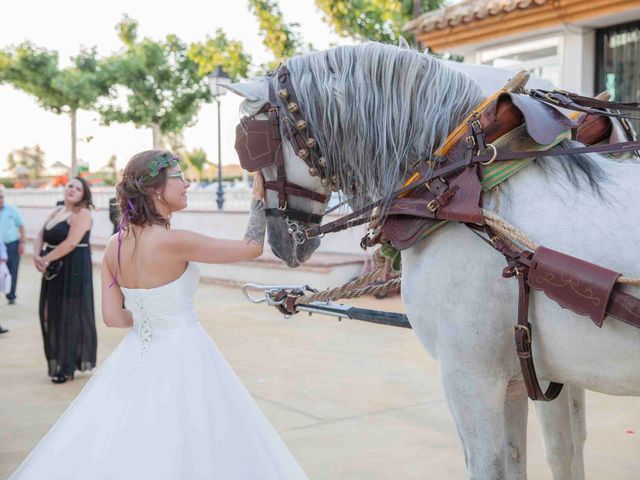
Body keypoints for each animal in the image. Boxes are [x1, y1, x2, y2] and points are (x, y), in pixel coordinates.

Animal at [228, 43, 636, 478]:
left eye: (253, 147)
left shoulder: (472, 378)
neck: (451, 184)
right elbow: (546, 454)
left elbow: (512, 460)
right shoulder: (522, 376)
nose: (276, 240)